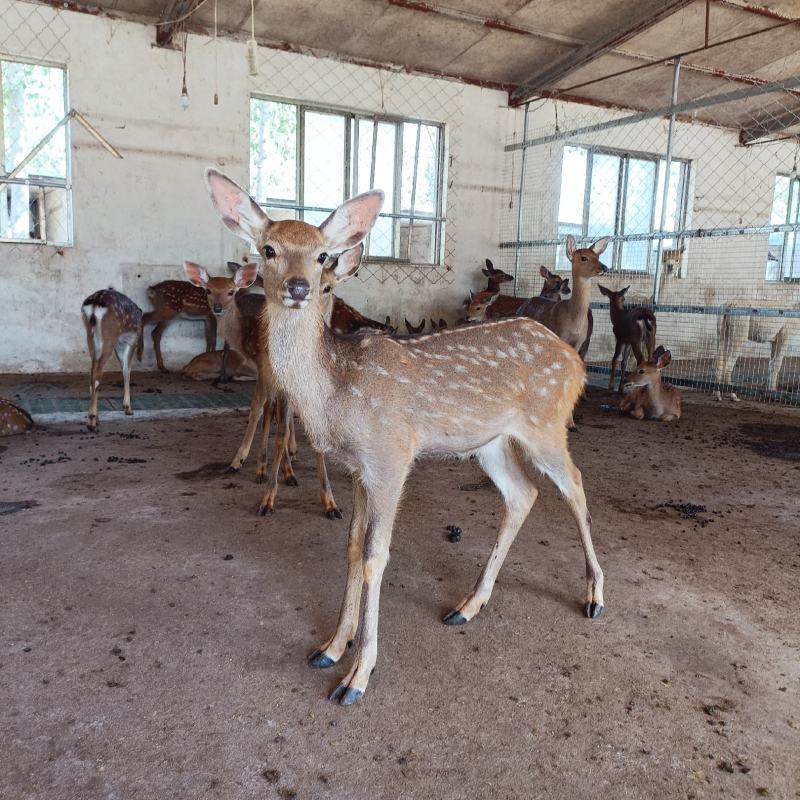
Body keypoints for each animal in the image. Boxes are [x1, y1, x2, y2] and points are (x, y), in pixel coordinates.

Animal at [81, 289, 143, 432]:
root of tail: (96, 302)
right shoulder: (131, 341)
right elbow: (126, 369)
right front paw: (128, 408)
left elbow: (124, 368)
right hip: (110, 335)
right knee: (97, 370)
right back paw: (92, 421)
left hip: (91, 335)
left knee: (92, 369)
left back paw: (95, 418)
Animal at [205, 169, 605, 706]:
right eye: (268, 249)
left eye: (322, 256)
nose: (298, 287)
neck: (336, 392)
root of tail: (575, 360)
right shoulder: (359, 468)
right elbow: (352, 548)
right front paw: (331, 647)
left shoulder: (391, 455)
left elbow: (377, 557)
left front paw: (357, 675)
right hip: (491, 441)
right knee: (524, 494)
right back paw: (467, 605)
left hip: (547, 423)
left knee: (576, 485)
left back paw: (594, 595)